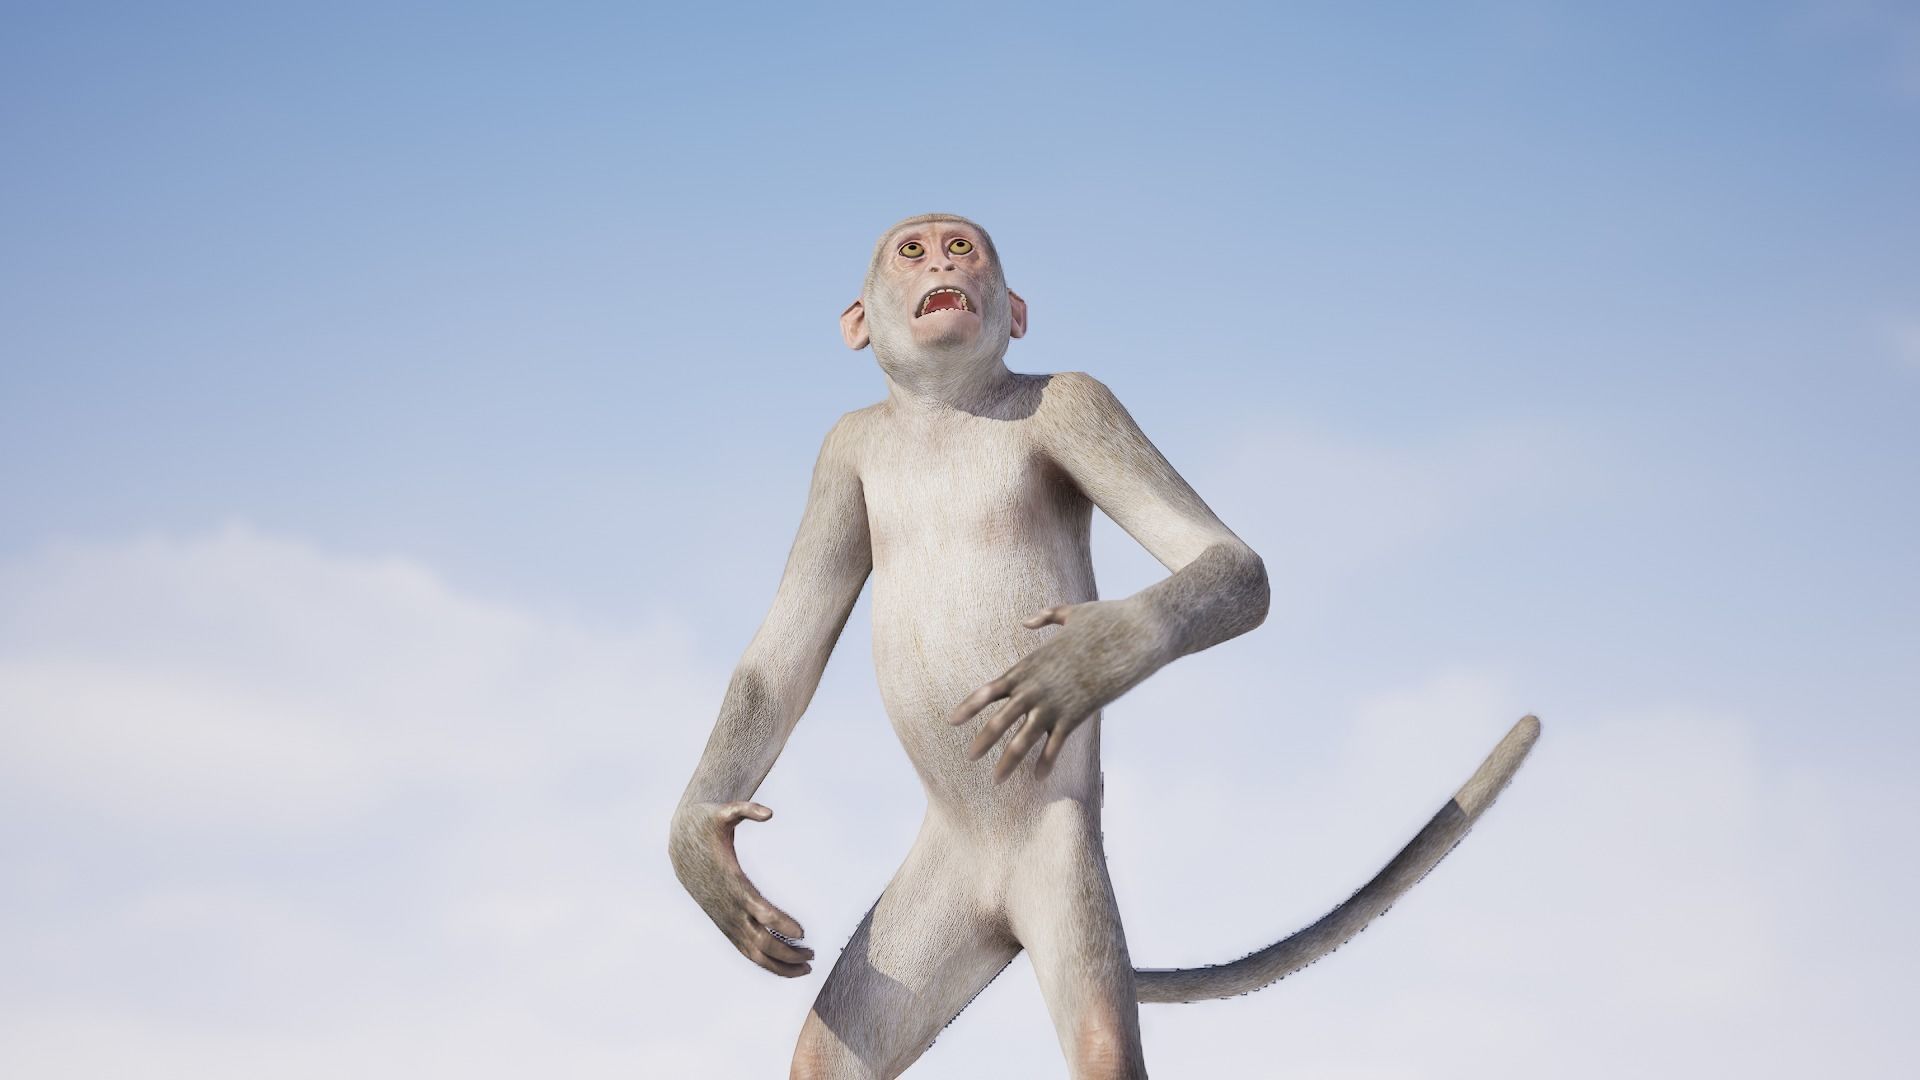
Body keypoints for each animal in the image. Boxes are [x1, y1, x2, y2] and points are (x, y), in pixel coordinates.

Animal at [667, 214, 1539, 1079]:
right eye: (913, 250)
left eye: (962, 246)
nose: (948, 263)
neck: (947, 408)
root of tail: (997, 901)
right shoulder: (838, 455)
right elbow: (786, 654)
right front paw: (701, 851)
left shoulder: (1080, 402)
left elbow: (1232, 564)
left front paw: (1079, 665)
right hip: (925, 921)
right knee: (830, 1052)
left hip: (1064, 871)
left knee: (1099, 1039)